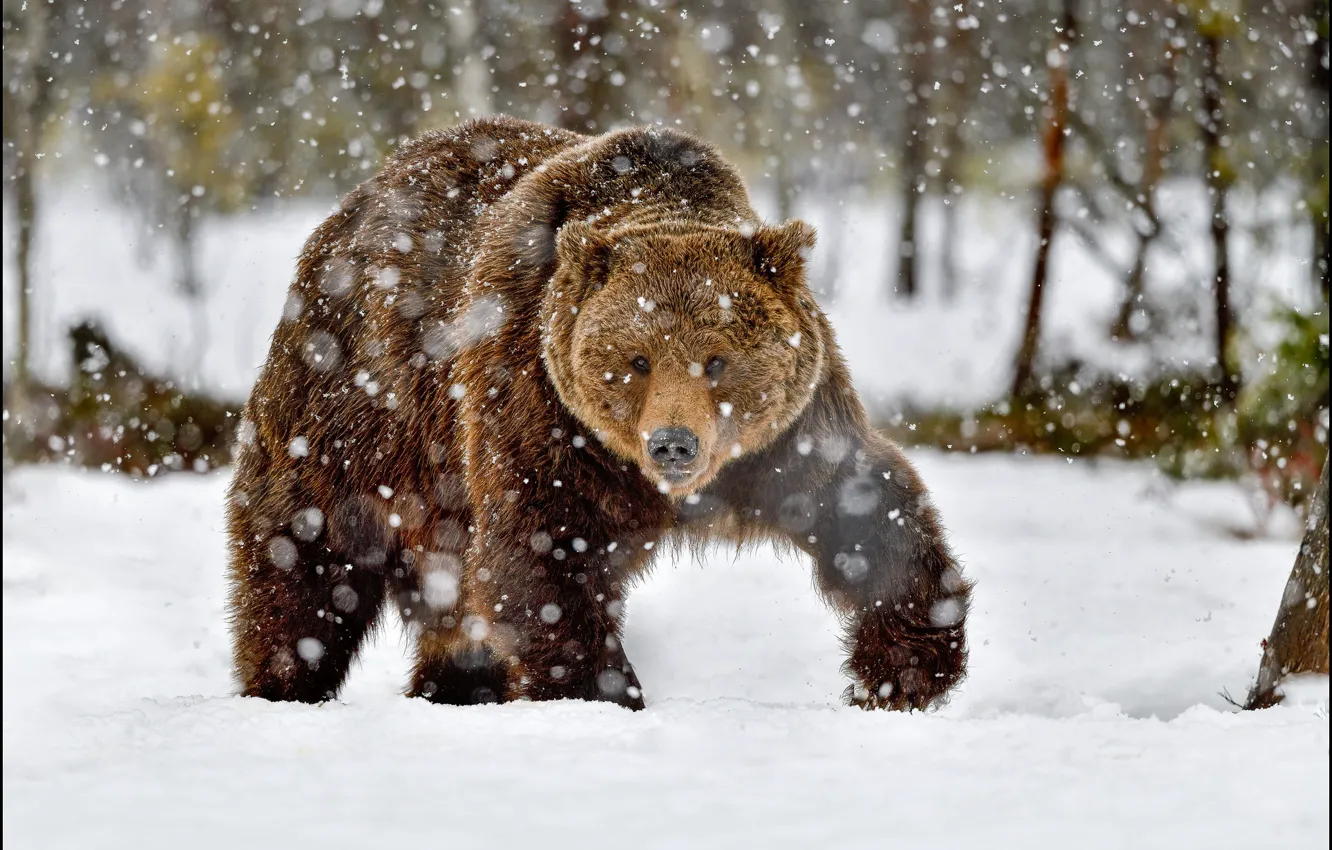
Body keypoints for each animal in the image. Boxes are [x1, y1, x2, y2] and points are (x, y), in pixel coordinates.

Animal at [227, 116, 972, 712]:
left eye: (717, 359)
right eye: (637, 359)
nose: (674, 443)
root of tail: (350, 209)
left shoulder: (783, 435)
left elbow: (862, 507)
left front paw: (906, 666)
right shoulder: (538, 408)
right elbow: (541, 552)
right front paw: (602, 692)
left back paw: (458, 685)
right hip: (358, 413)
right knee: (305, 557)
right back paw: (285, 682)